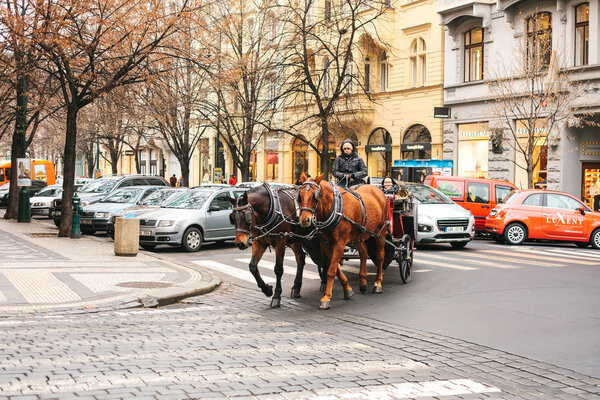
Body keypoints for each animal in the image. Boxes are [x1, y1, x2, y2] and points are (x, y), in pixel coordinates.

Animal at [298, 173, 390, 308]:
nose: (305, 220)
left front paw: (326, 298)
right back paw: (362, 282)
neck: (335, 208)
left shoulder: (339, 244)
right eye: (300, 195)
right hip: (359, 235)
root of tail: (378, 190)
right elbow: (335, 269)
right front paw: (348, 290)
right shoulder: (327, 244)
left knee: (380, 257)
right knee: (363, 252)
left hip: (380, 233)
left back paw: (377, 284)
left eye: (316, 196)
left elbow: (331, 270)